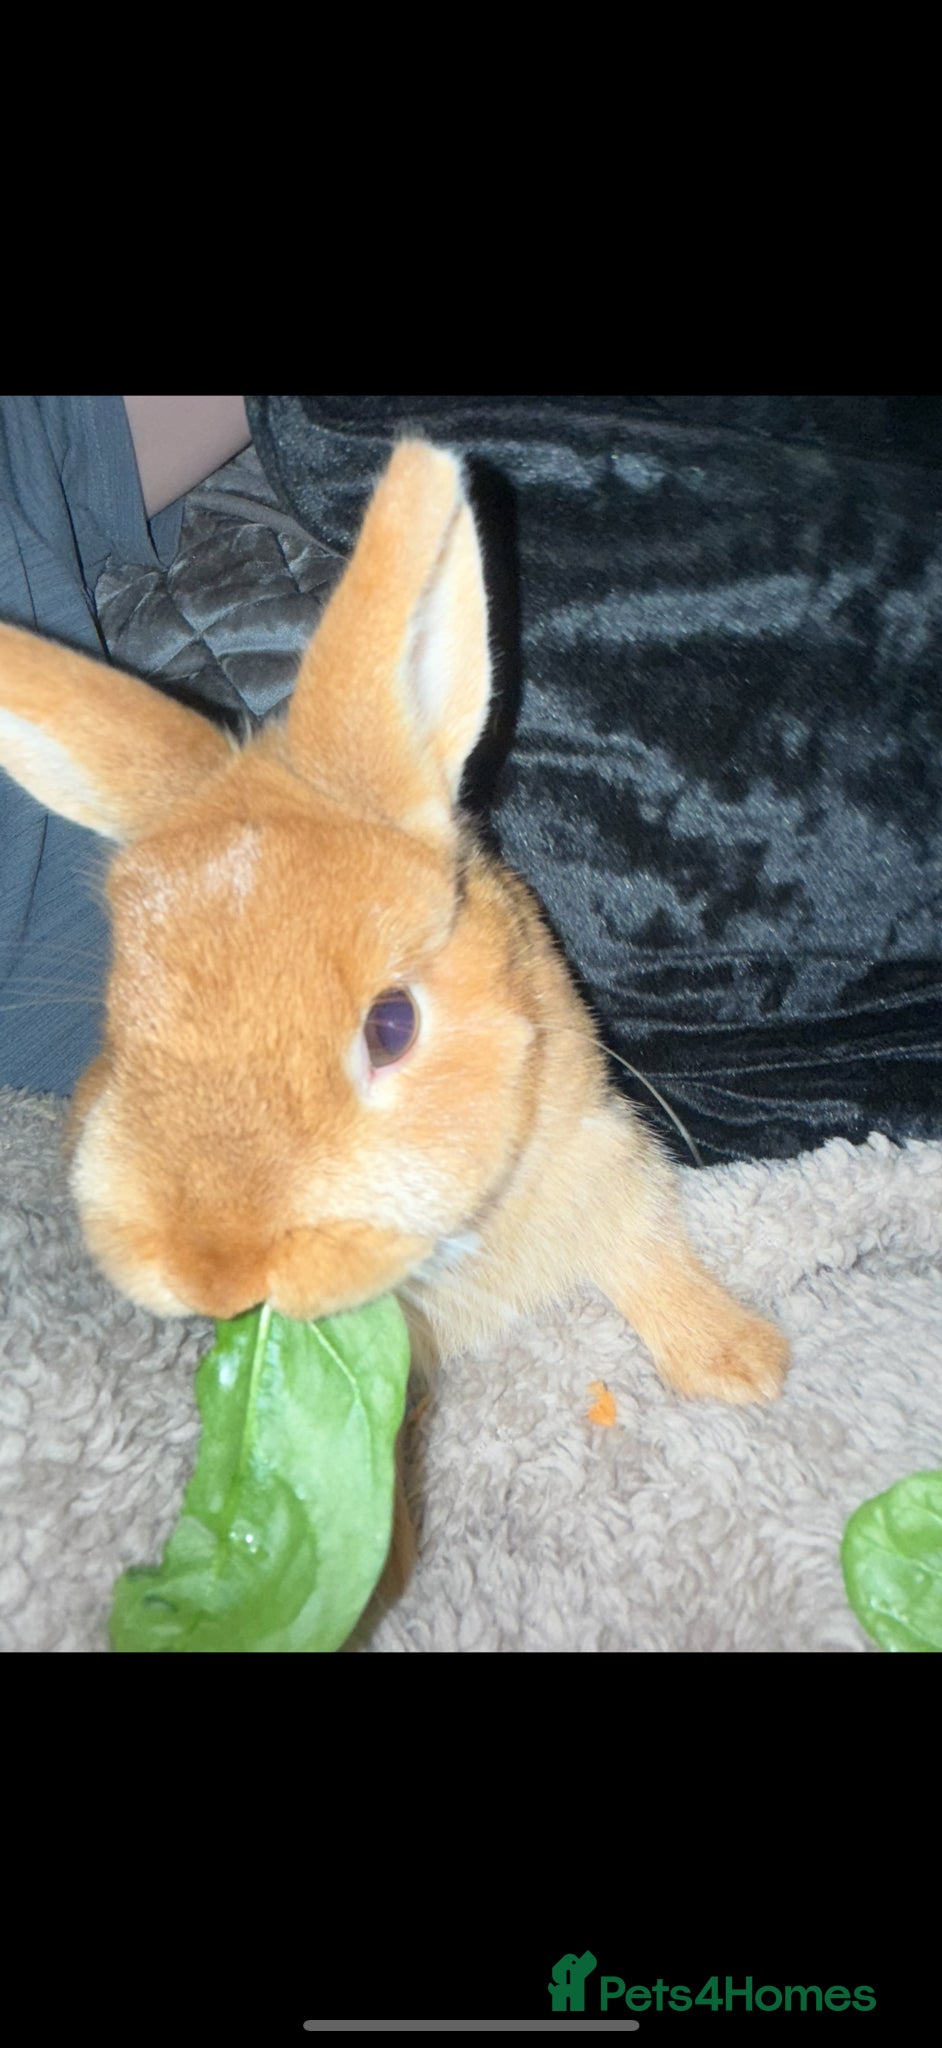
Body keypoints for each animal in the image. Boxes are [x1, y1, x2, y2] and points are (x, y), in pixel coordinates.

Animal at [0, 439, 788, 1624]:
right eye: (122, 1019)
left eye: (391, 1025)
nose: (216, 1270)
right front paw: (370, 1568)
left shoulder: (601, 1150)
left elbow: (651, 1251)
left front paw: (743, 1364)